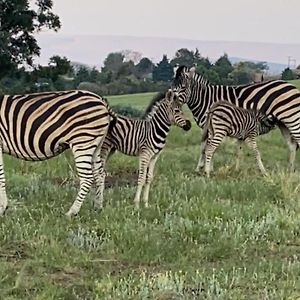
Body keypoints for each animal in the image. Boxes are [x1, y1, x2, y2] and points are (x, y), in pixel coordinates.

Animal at [172, 66, 300, 172]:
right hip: (283, 123)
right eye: (173, 87)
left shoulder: (210, 126)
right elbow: (204, 147)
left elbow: (206, 147)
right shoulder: (207, 127)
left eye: (183, 87)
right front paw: (201, 168)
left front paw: (207, 168)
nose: (171, 102)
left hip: (292, 119)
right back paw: (290, 170)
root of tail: (291, 86)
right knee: (292, 145)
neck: (205, 99)